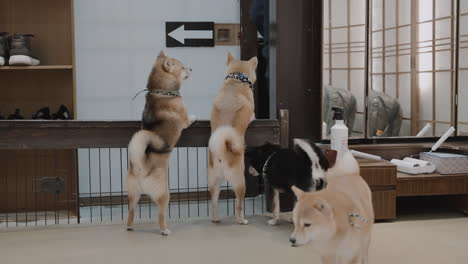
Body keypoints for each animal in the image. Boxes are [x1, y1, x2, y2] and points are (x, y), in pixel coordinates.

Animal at [125, 51, 195, 235]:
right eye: (183, 67)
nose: (191, 68)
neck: (162, 91)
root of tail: (141, 167)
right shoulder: (184, 119)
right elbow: (189, 118)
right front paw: (195, 116)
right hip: (164, 194)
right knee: (161, 215)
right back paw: (165, 230)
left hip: (132, 194)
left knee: (131, 211)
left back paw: (130, 226)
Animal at [209, 52, 260, 225]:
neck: (236, 80)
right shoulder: (252, 112)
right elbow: (254, 115)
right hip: (240, 182)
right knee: (238, 204)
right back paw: (241, 220)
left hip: (214, 182)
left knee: (214, 202)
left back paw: (216, 218)